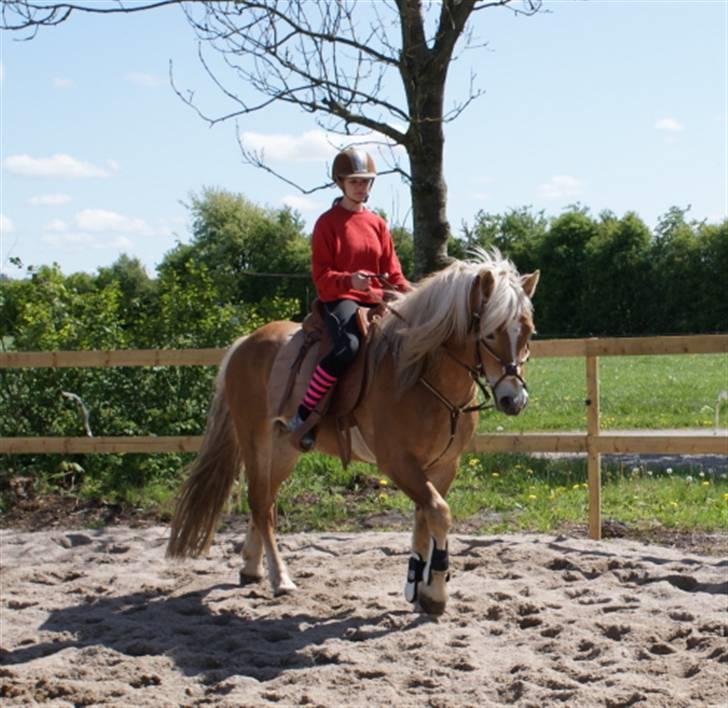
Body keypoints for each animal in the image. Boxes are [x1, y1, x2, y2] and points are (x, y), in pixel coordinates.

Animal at [168, 249, 536, 612]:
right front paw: (436, 592)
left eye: (528, 331)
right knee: (259, 502)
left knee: (266, 503)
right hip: (255, 440)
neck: (418, 373)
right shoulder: (399, 463)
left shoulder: (443, 465)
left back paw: (251, 566)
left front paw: (418, 584)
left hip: (284, 448)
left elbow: (426, 518)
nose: (513, 399)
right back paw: (280, 578)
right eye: (490, 331)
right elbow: (439, 514)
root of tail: (246, 341)